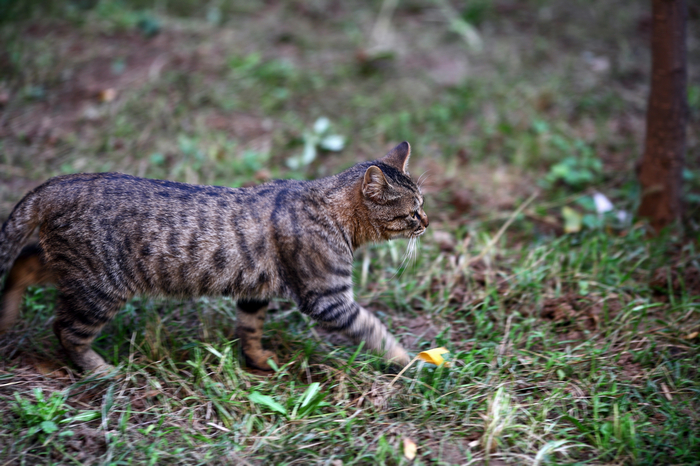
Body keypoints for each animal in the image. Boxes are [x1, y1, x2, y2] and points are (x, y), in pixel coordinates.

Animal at [0, 140, 426, 374]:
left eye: (423, 203)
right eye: (412, 211)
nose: (427, 221)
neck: (331, 211)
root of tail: (61, 182)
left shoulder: (255, 292)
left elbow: (249, 329)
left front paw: (258, 360)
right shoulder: (327, 298)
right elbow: (374, 328)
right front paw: (407, 360)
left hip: (73, 272)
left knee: (23, 263)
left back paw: (7, 315)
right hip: (98, 287)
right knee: (65, 330)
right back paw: (100, 370)